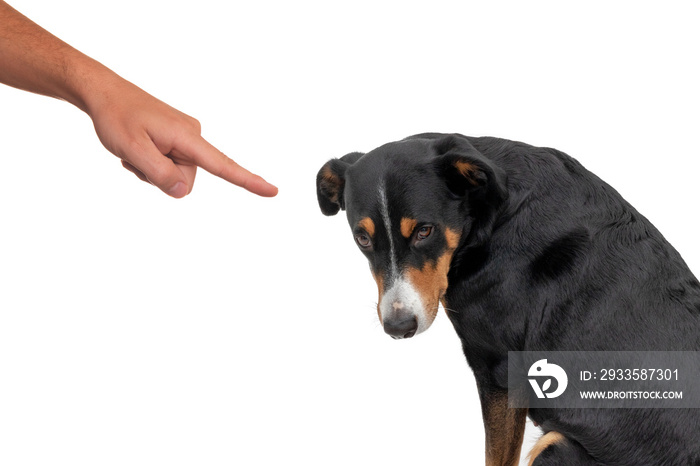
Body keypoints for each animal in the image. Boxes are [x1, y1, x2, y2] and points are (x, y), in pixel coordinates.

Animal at [316, 132, 700, 466]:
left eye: (425, 230)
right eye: (363, 238)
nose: (398, 326)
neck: (494, 217)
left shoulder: (502, 372)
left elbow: (497, 456)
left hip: (556, 444)